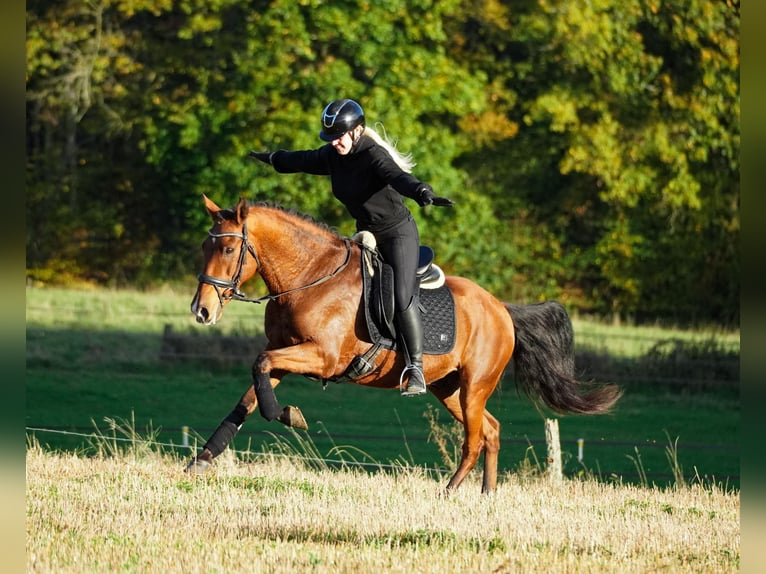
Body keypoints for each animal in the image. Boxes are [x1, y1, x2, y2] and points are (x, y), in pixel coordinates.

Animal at [186, 197, 624, 496]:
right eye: (205, 248)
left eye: (228, 249)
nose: (201, 310)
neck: (311, 277)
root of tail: (501, 308)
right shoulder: (285, 353)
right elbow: (249, 395)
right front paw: (201, 459)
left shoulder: (321, 358)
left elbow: (260, 370)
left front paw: (290, 416)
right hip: (448, 389)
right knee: (491, 430)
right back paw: (487, 494)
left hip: (474, 386)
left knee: (474, 439)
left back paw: (450, 491)